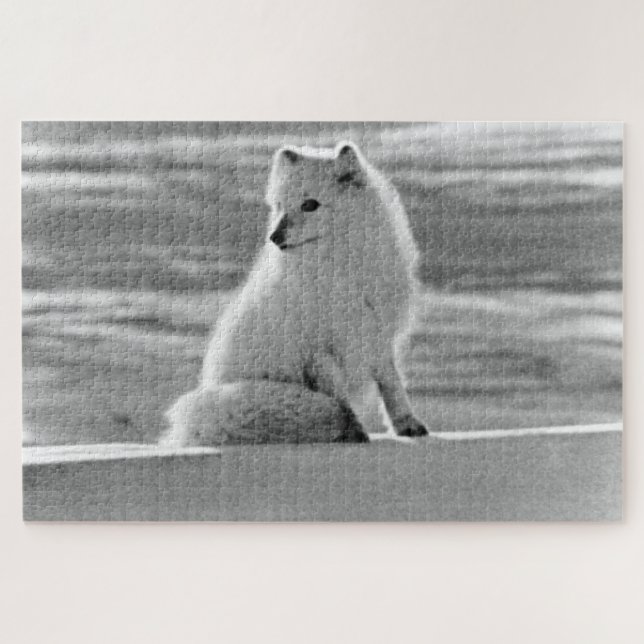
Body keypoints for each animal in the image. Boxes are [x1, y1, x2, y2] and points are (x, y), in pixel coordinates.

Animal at [161, 141, 428, 446]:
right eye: (279, 206)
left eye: (309, 205)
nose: (274, 237)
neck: (341, 272)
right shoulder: (318, 352)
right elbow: (340, 401)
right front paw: (355, 430)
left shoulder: (377, 335)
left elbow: (392, 386)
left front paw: (407, 424)